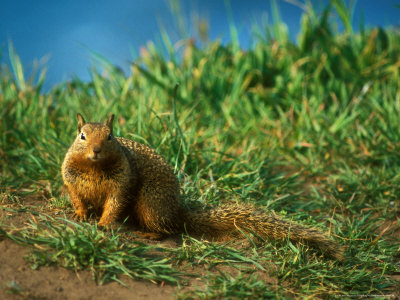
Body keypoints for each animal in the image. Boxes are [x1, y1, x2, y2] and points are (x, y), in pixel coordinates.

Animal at [61, 113, 344, 260]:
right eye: (82, 136)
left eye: (110, 137)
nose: (96, 149)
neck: (95, 168)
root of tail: (176, 210)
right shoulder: (70, 178)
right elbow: (76, 197)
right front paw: (80, 214)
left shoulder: (122, 184)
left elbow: (114, 205)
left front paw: (103, 223)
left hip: (151, 204)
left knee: (168, 229)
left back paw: (150, 234)